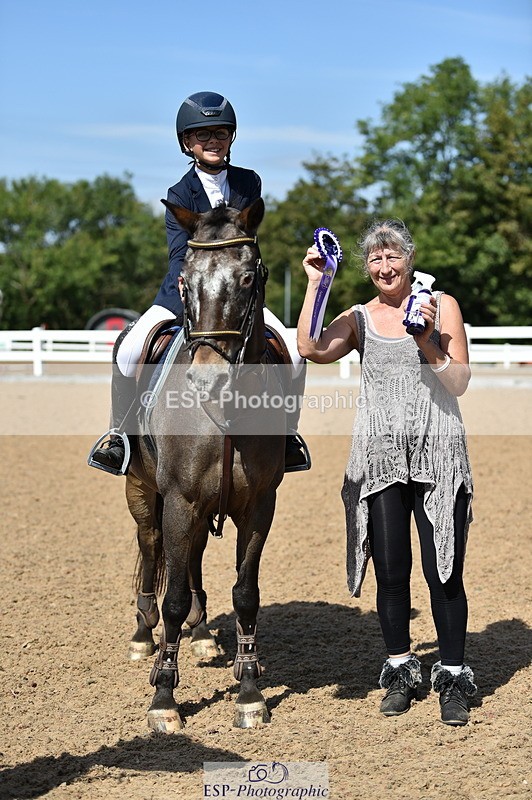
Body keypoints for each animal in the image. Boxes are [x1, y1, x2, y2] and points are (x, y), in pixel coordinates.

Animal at [123, 198, 288, 732]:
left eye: (248, 277)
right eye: (185, 281)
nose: (206, 379)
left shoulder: (258, 507)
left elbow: (245, 593)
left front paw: (250, 690)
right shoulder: (179, 500)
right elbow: (172, 596)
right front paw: (163, 699)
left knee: (190, 558)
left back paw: (201, 636)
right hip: (143, 493)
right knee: (152, 547)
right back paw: (143, 636)